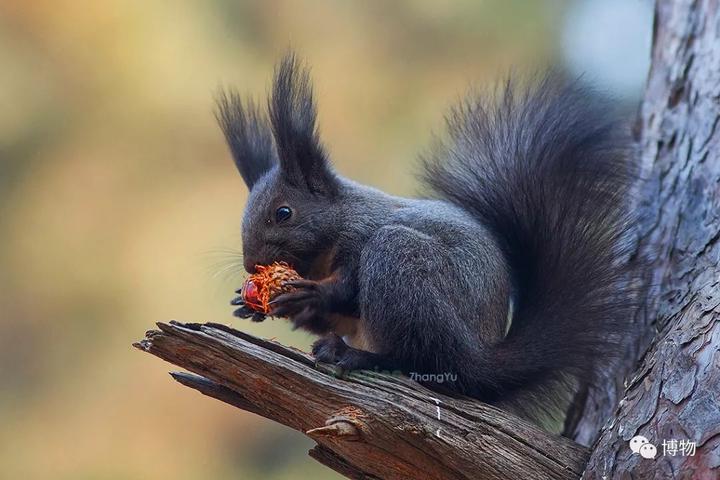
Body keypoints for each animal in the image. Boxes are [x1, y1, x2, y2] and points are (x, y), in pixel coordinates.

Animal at [217, 52, 640, 428]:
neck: (323, 251)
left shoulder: (364, 233)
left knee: (417, 361)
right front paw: (248, 303)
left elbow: (348, 289)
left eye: (283, 213)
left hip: (403, 267)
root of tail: (481, 359)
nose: (251, 264)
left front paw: (313, 293)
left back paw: (354, 356)